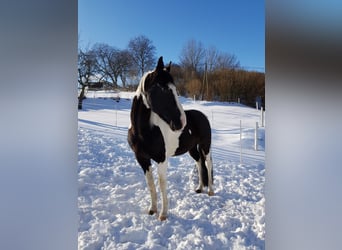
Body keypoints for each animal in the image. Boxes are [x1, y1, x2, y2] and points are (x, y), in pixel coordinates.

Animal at [128, 56, 214, 221]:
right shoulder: (142, 159)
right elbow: (150, 184)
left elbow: (162, 184)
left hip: (205, 146)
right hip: (192, 149)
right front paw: (152, 210)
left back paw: (211, 192)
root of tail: (203, 116)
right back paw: (199, 188)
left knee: (208, 163)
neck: (144, 131)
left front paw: (163, 215)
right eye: (164, 89)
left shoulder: (162, 160)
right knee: (199, 163)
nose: (182, 122)